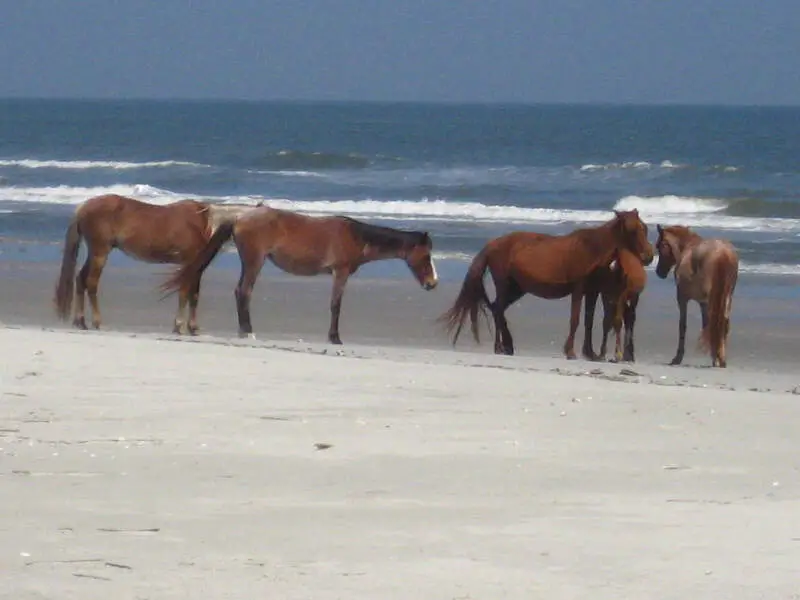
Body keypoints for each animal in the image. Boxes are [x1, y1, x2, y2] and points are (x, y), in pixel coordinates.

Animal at [54, 192, 253, 332]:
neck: (202, 222)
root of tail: (83, 207)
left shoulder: (195, 267)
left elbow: (193, 295)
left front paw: (192, 327)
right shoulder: (189, 263)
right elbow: (184, 293)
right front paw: (179, 325)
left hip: (96, 253)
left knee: (80, 280)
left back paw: (80, 321)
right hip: (100, 253)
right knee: (91, 283)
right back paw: (97, 322)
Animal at [160, 206, 440, 344]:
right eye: (426, 257)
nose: (433, 283)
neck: (357, 237)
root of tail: (239, 217)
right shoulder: (340, 273)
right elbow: (336, 305)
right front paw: (335, 338)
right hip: (254, 261)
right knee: (244, 291)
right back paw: (247, 331)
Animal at [438, 211, 656, 358]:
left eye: (645, 227)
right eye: (633, 230)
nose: (649, 256)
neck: (592, 249)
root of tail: (491, 244)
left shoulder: (592, 291)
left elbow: (588, 321)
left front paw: (590, 353)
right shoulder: (578, 290)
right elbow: (575, 319)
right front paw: (570, 352)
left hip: (517, 289)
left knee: (496, 309)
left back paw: (505, 346)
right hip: (504, 284)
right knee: (498, 309)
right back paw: (501, 347)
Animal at [652, 224, 740, 368]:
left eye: (659, 246)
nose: (659, 272)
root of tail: (723, 254)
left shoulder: (682, 298)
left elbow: (683, 325)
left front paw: (677, 358)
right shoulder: (703, 302)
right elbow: (706, 324)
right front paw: (714, 355)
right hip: (727, 297)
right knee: (724, 323)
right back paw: (721, 359)